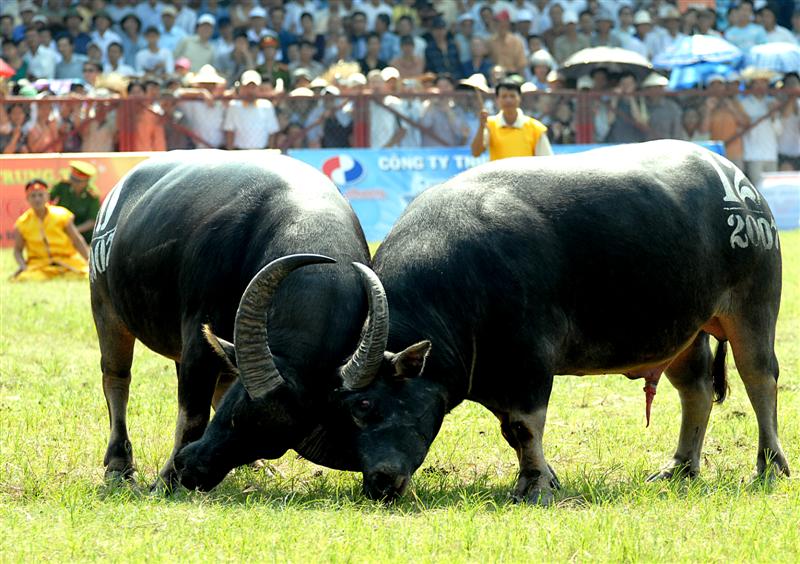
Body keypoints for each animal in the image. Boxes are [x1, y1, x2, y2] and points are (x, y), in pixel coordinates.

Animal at [90, 151, 385, 490]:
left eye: (272, 444)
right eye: (236, 414)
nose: (193, 469)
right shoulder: (198, 338)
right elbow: (192, 415)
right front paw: (165, 481)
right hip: (105, 306)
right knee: (116, 379)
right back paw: (118, 465)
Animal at [334, 140, 789, 503]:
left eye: (364, 404)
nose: (378, 483)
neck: (459, 287)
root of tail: (741, 184)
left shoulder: (530, 362)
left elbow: (524, 426)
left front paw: (534, 487)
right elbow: (509, 430)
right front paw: (546, 478)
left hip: (753, 306)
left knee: (760, 379)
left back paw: (769, 465)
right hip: (684, 330)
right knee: (696, 390)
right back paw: (679, 468)